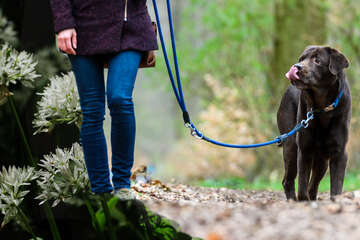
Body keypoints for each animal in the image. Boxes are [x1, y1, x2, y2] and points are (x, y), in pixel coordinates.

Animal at [278, 45, 350, 201]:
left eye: (317, 60)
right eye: (301, 59)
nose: (296, 66)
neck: (322, 107)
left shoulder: (339, 152)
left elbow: (336, 186)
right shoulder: (304, 149)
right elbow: (302, 184)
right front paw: (303, 201)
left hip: (322, 160)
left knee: (313, 184)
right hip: (291, 146)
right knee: (288, 180)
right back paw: (292, 200)